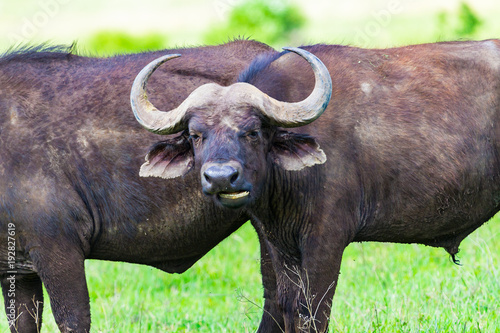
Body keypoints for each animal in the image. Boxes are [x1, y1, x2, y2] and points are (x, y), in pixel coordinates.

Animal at [132, 40, 500, 330]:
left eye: (253, 131)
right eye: (196, 134)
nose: (221, 177)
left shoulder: (326, 240)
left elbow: (313, 310)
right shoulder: (280, 245)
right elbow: (289, 307)